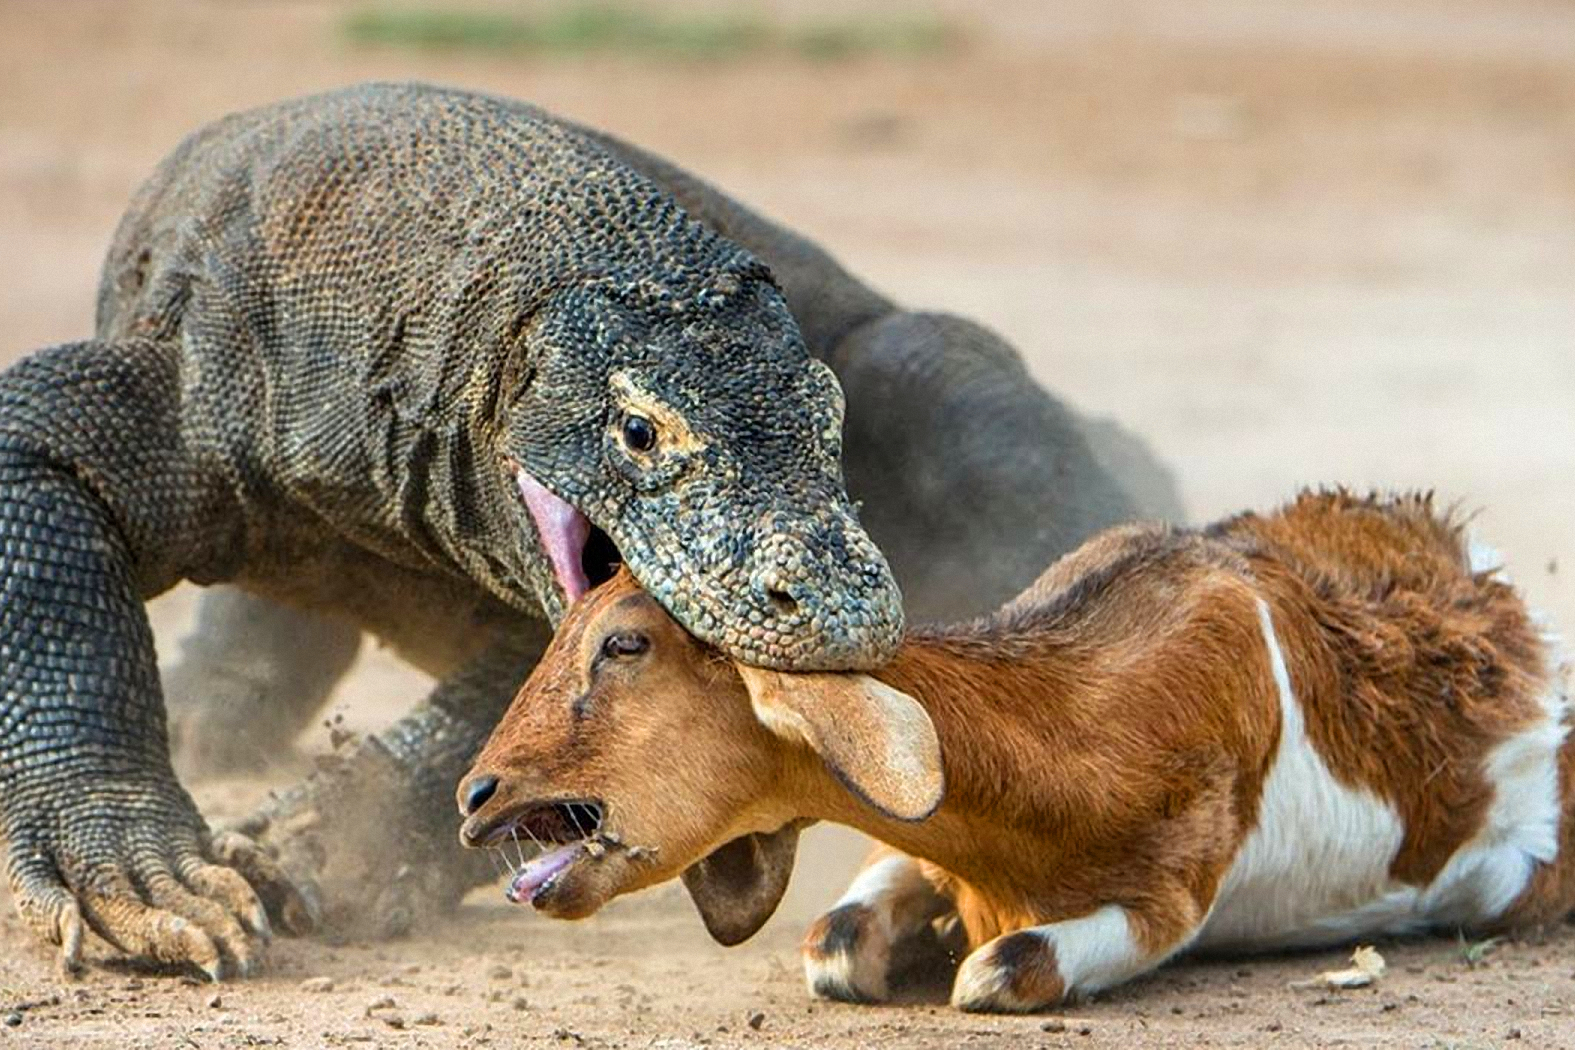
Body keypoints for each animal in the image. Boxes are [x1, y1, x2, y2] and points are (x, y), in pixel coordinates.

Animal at [456, 488, 1562, 1013]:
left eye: (625, 643)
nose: (476, 794)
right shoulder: (916, 842)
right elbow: (835, 941)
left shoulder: (1167, 897)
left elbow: (1003, 967)